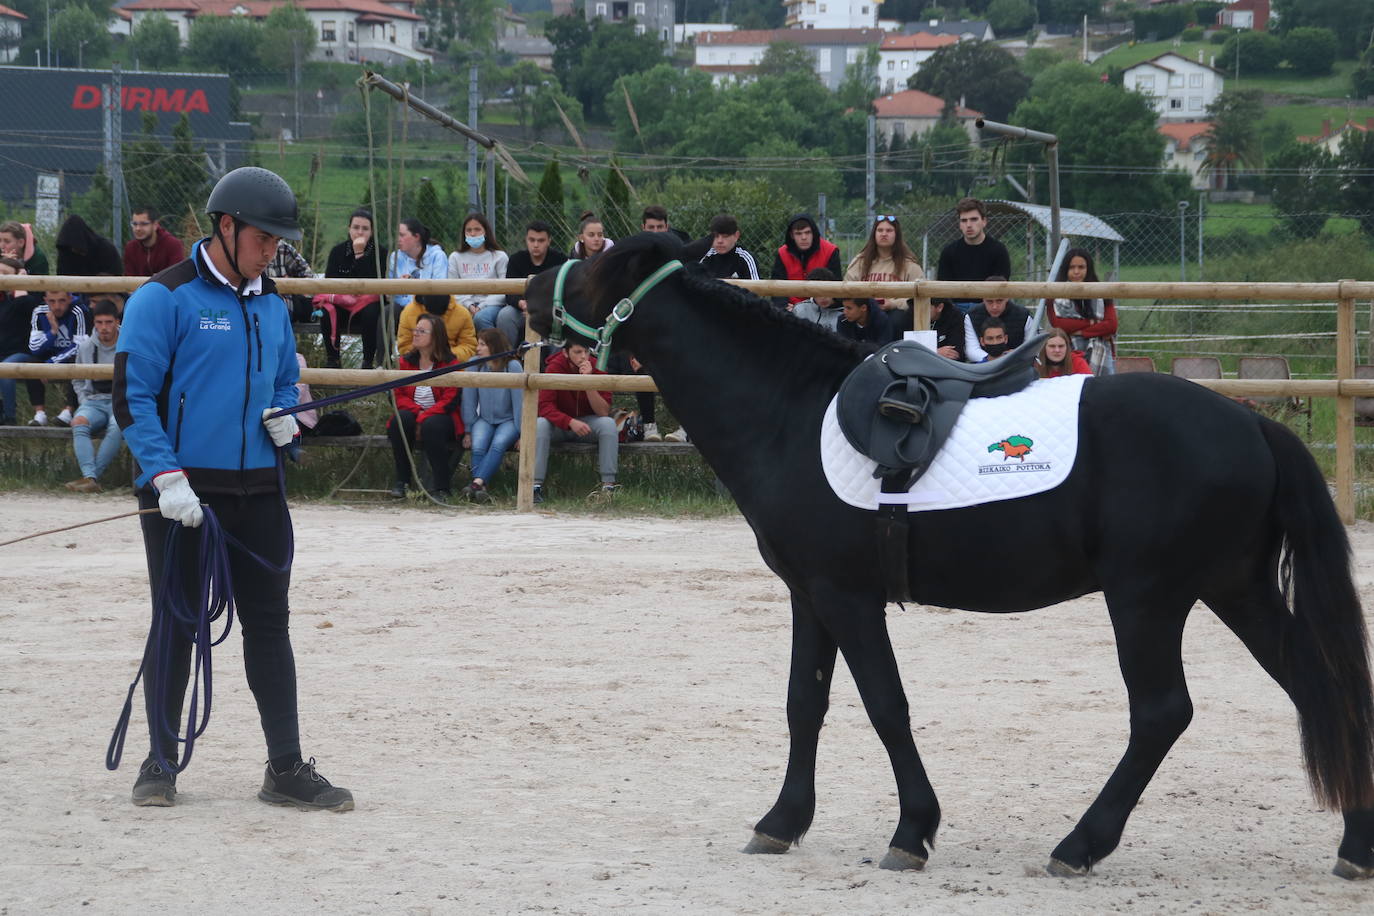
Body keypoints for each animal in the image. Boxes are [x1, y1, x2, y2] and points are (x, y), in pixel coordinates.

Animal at [522, 230, 1374, 878]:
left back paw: (1079, 845)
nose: (529, 289)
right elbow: (805, 704)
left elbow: (884, 705)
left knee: (1162, 711)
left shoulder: (849, 597)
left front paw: (912, 831)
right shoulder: (810, 595)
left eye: (595, 262)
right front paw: (782, 821)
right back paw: (1355, 844)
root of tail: (1251, 422)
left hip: (1149, 597)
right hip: (1235, 588)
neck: (789, 412)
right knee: (1318, 686)